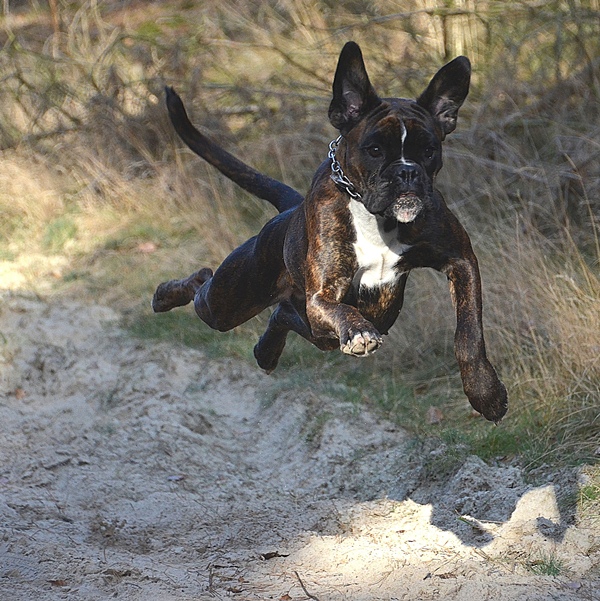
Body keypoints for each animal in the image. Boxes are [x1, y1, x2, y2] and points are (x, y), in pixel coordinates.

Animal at [154, 41, 506, 422]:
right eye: (374, 149)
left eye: (429, 150)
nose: (407, 173)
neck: (377, 218)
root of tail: (291, 208)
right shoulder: (323, 295)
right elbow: (341, 310)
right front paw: (358, 331)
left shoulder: (460, 259)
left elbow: (468, 334)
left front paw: (485, 393)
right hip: (230, 300)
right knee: (204, 285)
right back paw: (164, 295)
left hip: (347, 321)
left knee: (284, 314)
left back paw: (266, 351)